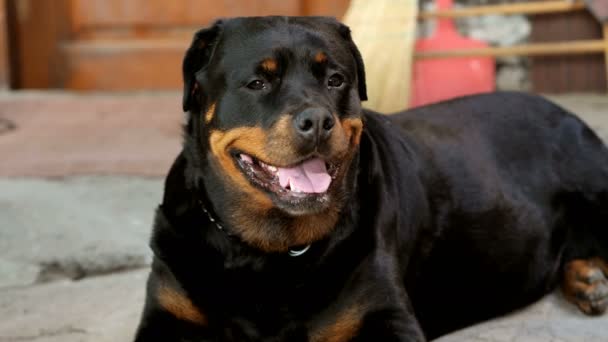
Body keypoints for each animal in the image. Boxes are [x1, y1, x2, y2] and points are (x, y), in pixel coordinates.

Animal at [135, 16, 608, 342]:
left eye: (335, 79)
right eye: (257, 82)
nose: (317, 120)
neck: (267, 253)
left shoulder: (386, 316)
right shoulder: (167, 315)